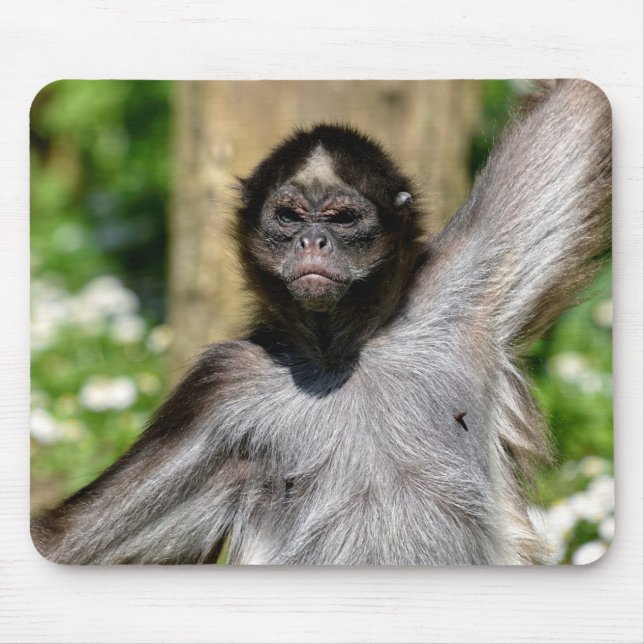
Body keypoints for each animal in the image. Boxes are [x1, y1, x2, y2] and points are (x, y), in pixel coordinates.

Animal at [31, 80, 611, 565]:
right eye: (289, 217)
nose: (313, 240)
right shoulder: (223, 386)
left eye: (342, 218)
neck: (340, 357)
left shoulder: (450, 296)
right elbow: (65, 545)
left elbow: (580, 105)